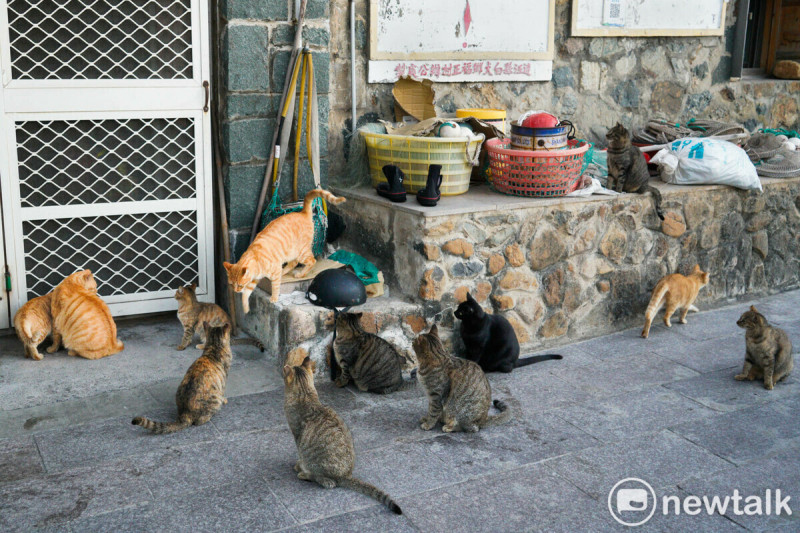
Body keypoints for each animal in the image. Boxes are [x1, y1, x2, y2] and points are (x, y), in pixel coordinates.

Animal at [284, 356, 404, 512]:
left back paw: (304, 473)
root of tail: (345, 476)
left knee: (325, 481)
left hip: (315, 463)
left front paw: (299, 465)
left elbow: (299, 454)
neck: (305, 394)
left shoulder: (297, 435)